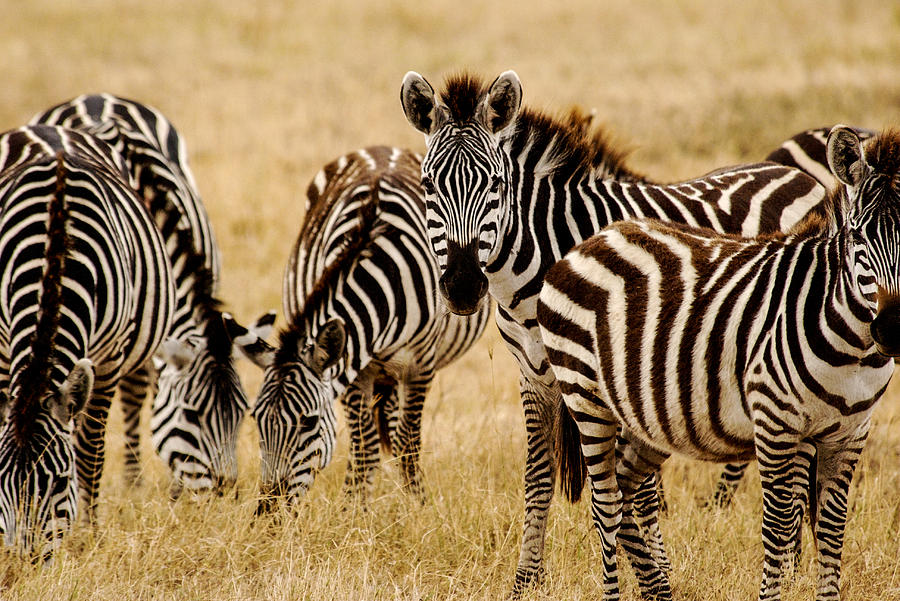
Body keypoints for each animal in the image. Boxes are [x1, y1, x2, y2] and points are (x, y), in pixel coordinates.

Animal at [0, 124, 177, 560]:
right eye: (1, 482)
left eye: (61, 482)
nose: (23, 564)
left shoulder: (110, 357)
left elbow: (90, 448)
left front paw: (88, 534)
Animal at [243, 146, 488, 510]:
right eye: (257, 420)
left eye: (308, 422)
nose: (269, 512)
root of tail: (380, 149)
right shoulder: (354, 368)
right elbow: (364, 446)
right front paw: (353, 509)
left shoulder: (420, 366)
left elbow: (407, 443)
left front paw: (418, 506)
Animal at [400, 70, 828, 596]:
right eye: (428, 185)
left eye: (497, 184)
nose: (462, 287)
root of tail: (795, 174)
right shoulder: (534, 376)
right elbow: (539, 478)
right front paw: (526, 582)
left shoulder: (612, 368)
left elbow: (627, 490)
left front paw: (655, 579)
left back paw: (790, 568)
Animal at [536, 125, 896, 600]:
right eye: (858, 237)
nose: (892, 328)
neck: (852, 349)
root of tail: (596, 238)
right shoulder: (775, 424)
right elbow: (779, 528)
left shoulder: (851, 432)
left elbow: (832, 530)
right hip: (586, 396)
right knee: (606, 503)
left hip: (648, 415)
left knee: (628, 489)